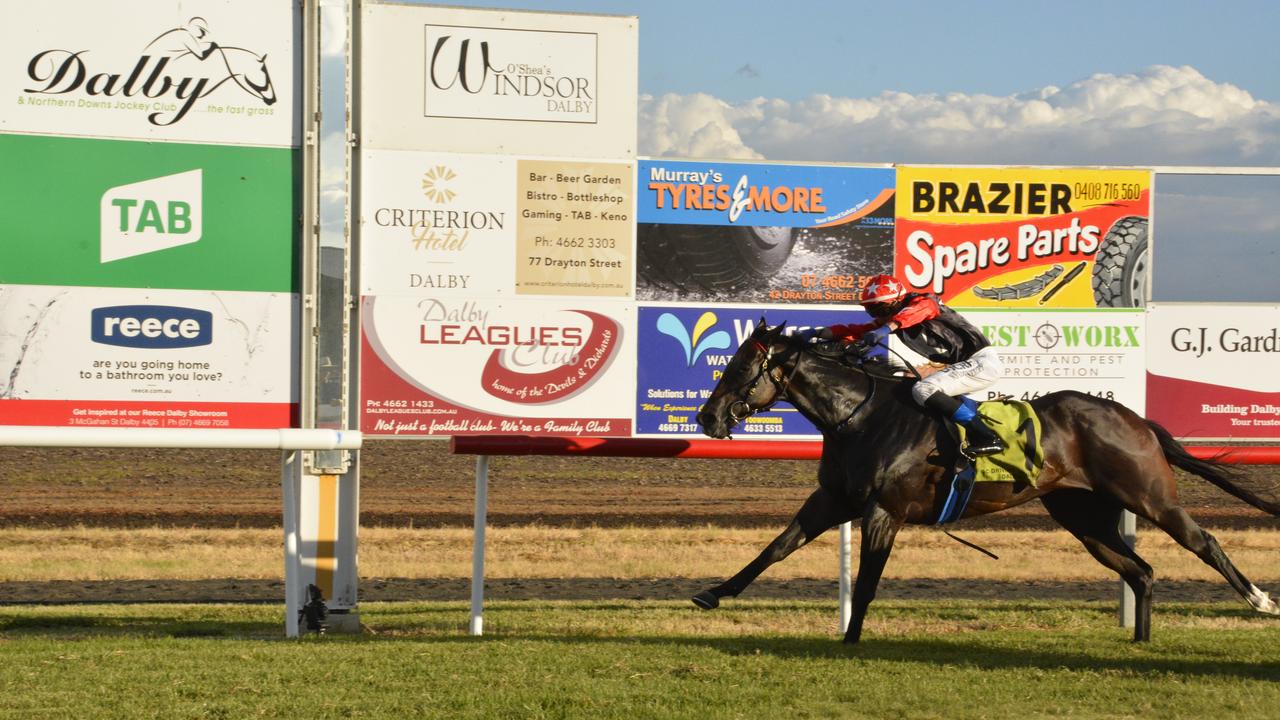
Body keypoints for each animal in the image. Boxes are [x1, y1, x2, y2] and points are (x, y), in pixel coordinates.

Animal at [696, 317, 1274, 638]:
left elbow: (866, 584)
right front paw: (714, 593)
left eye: (740, 368)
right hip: (1084, 517)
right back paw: (1141, 641)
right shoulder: (832, 500)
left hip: (1150, 495)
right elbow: (775, 548)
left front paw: (851, 640)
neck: (860, 417)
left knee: (1204, 542)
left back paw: (1260, 600)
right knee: (1142, 571)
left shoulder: (884, 512)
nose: (706, 417)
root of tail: (1134, 418)